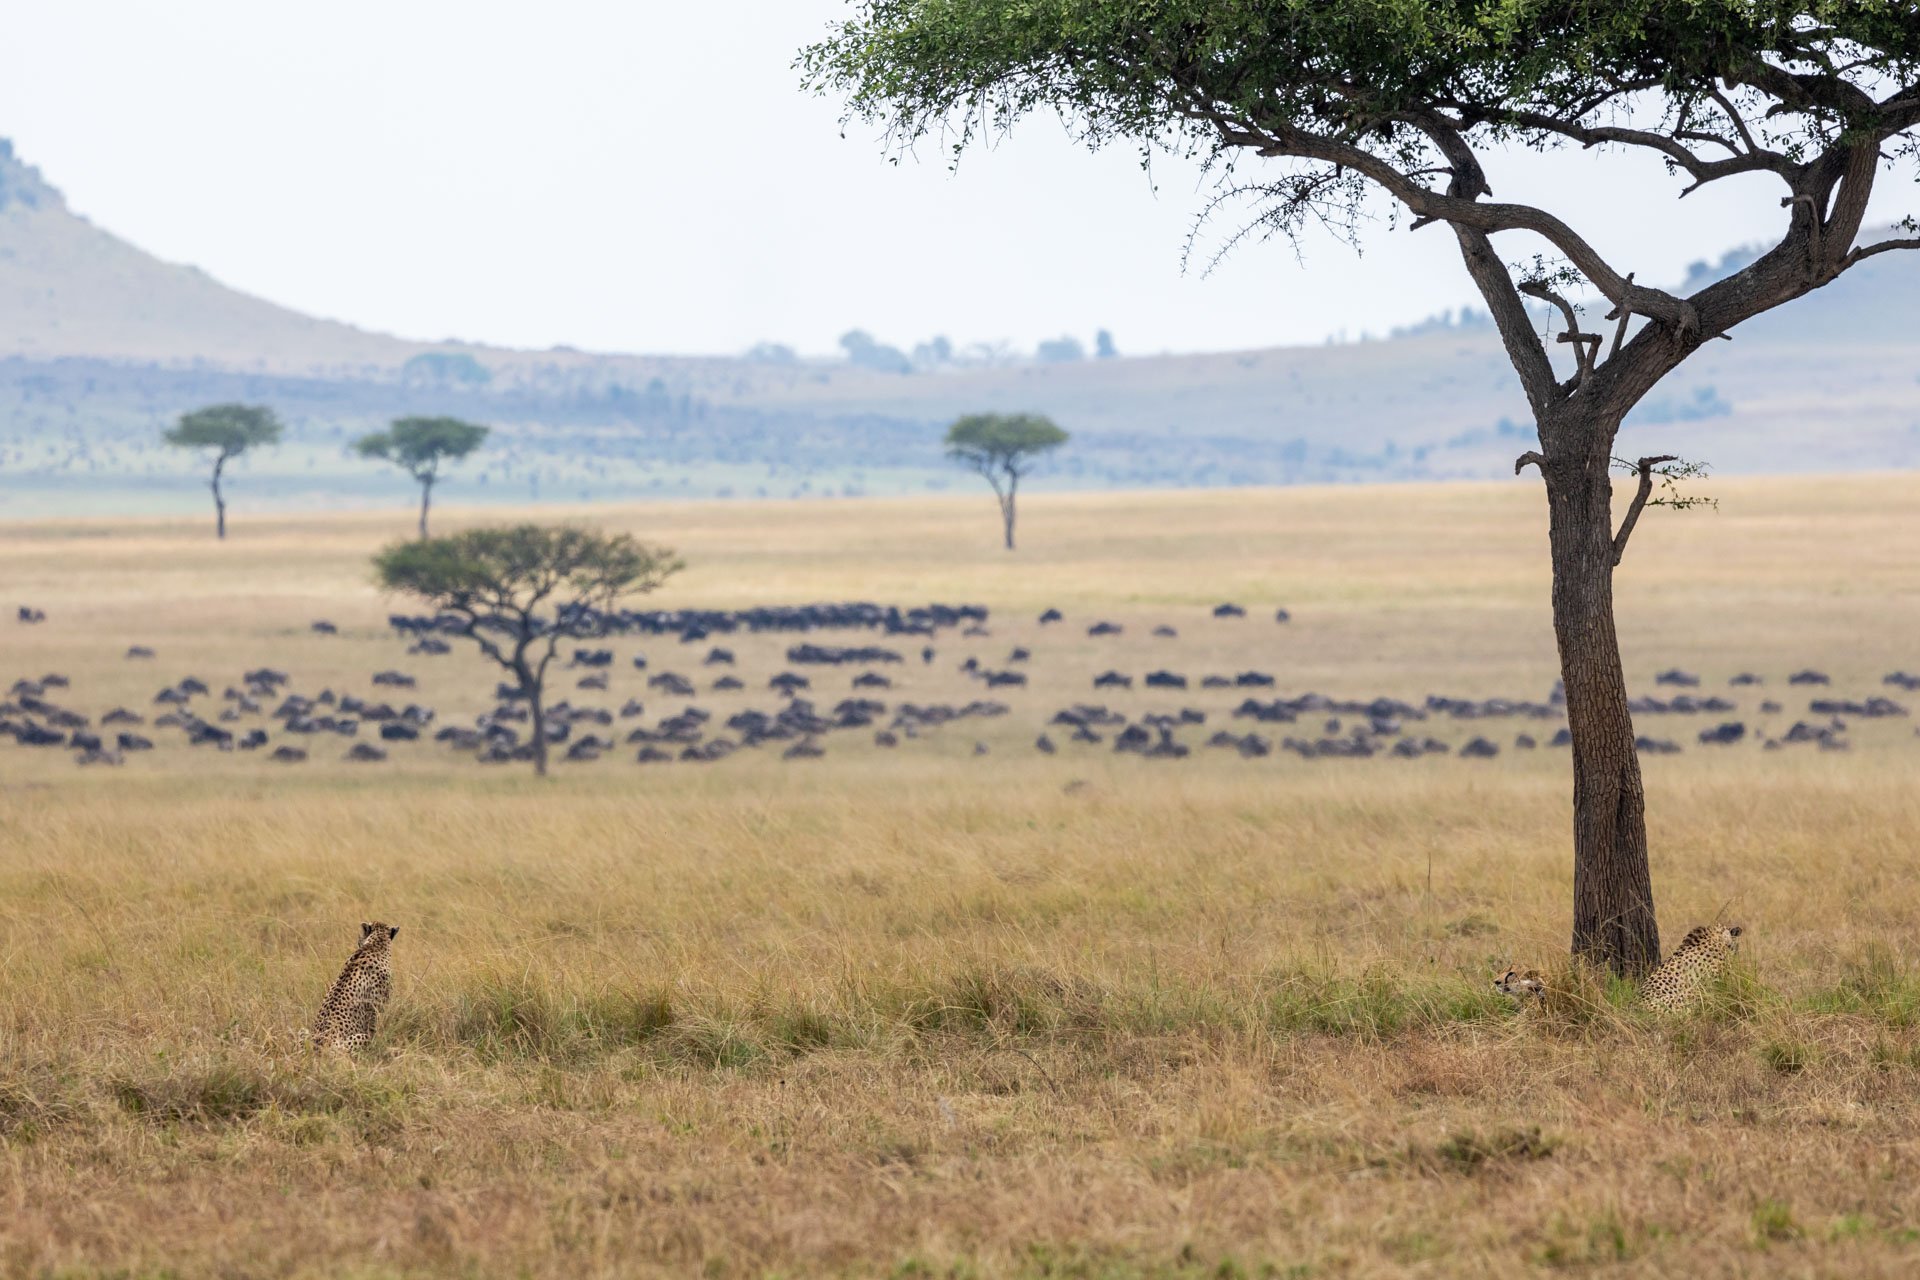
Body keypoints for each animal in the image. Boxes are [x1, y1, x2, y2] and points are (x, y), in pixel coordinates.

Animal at [312, 921, 399, 1051]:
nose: (358, 941)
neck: (376, 944)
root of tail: (318, 1047)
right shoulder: (375, 1008)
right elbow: (373, 1028)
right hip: (356, 1039)